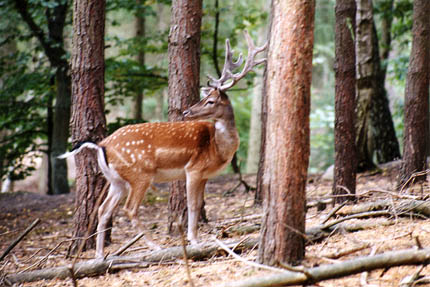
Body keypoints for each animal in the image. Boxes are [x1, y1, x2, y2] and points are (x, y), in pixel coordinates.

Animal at [59, 29, 268, 258]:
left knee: (103, 210)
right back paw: (154, 246)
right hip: (140, 173)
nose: (187, 111)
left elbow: (199, 204)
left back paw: (99, 255)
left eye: (210, 101)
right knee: (129, 209)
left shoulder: (204, 175)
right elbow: (192, 205)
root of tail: (101, 145)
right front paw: (194, 240)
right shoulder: (193, 169)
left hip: (116, 180)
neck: (218, 148)